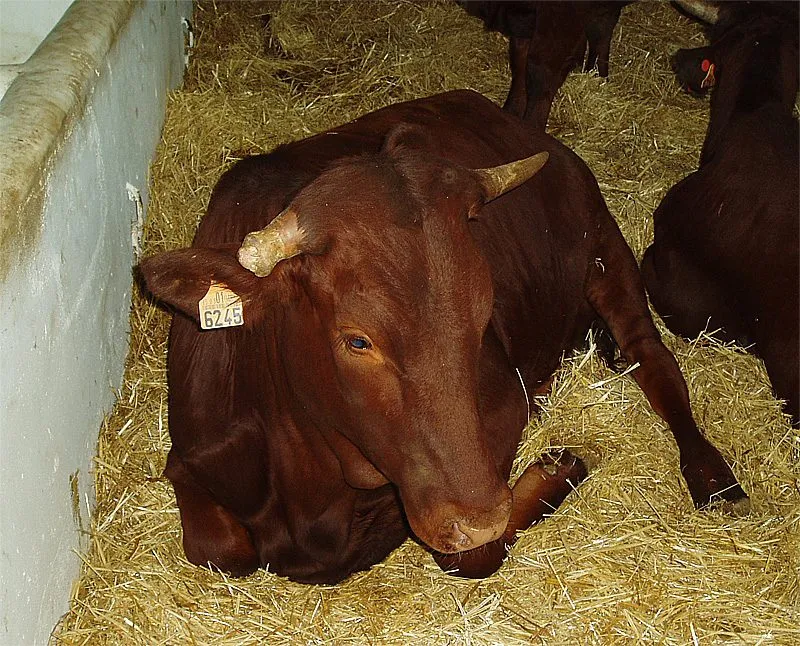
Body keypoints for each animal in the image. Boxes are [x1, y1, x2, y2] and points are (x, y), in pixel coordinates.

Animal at [139, 89, 748, 585]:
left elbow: (473, 556)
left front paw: (559, 466)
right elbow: (219, 550)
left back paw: (715, 478)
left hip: (608, 248)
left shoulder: (501, 410)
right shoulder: (190, 462)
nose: (477, 517)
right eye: (357, 340)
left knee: (654, 359)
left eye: (481, 316)